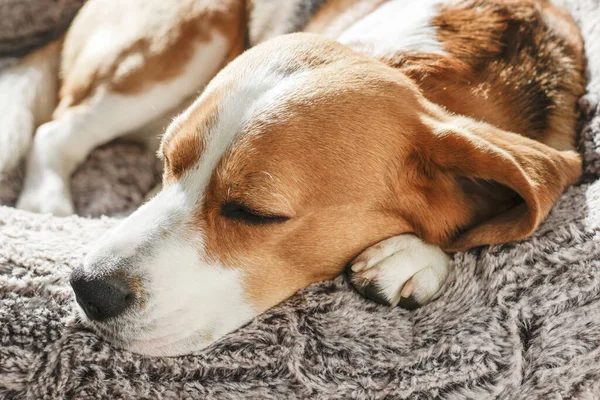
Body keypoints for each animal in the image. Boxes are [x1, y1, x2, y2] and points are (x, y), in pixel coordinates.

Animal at [0, 0, 580, 356]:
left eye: (254, 213)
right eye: (167, 165)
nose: (87, 287)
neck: (415, 70)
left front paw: (415, 255)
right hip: (179, 40)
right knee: (56, 131)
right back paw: (48, 203)